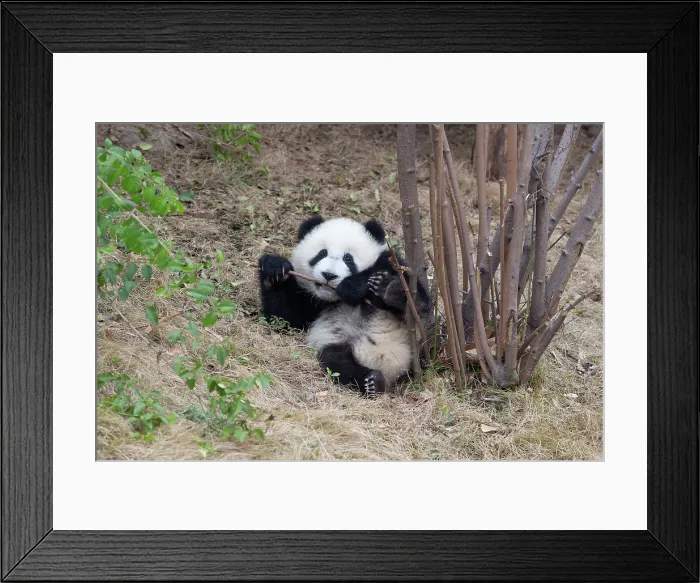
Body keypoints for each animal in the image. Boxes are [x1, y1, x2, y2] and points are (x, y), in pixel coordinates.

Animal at [258, 216, 431, 397]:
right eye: (321, 254)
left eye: (348, 258)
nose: (329, 275)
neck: (334, 298)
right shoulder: (311, 302)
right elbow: (287, 319)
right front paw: (274, 269)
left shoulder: (392, 264)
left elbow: (422, 306)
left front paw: (354, 286)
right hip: (338, 343)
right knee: (335, 360)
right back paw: (372, 381)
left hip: (414, 348)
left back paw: (390, 290)